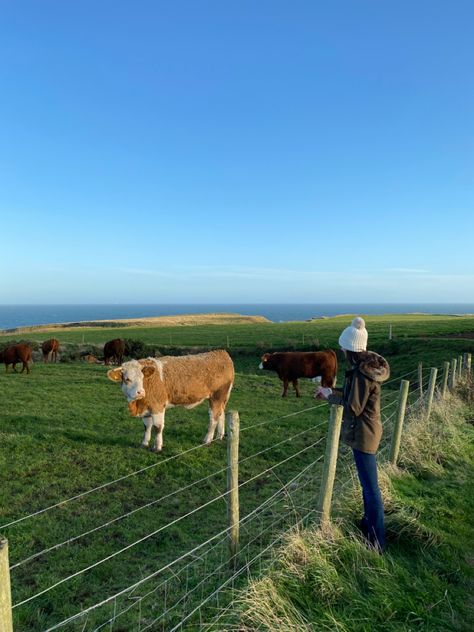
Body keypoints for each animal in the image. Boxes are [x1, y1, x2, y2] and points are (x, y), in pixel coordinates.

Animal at [106, 350, 234, 450]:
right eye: (127, 379)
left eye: (142, 377)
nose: (140, 392)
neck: (138, 404)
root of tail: (221, 352)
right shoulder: (146, 408)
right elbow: (147, 426)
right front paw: (144, 443)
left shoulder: (157, 405)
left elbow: (157, 427)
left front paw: (157, 447)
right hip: (221, 398)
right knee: (221, 414)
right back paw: (219, 436)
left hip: (217, 396)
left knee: (213, 418)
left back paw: (207, 440)